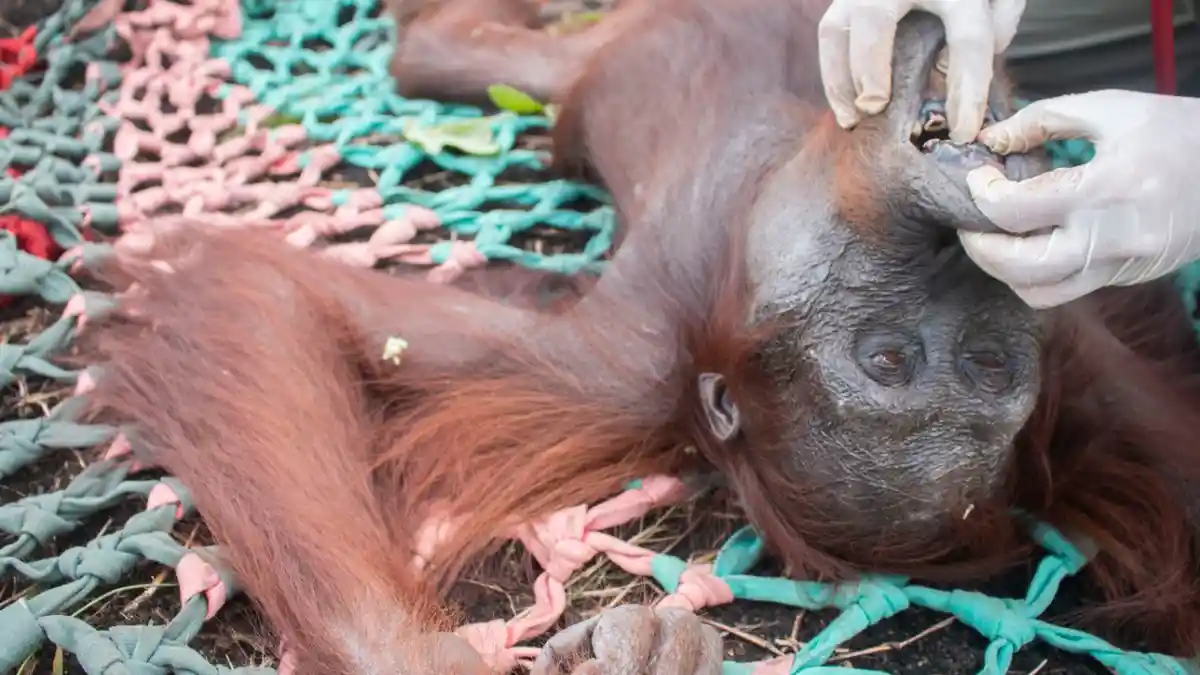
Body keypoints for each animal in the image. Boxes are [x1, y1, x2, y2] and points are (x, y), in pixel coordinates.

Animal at [69, 0, 1200, 672]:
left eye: (985, 366)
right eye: (891, 360)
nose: (964, 304)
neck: (769, 181)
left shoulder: (1077, 359)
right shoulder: (620, 362)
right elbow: (269, 303)